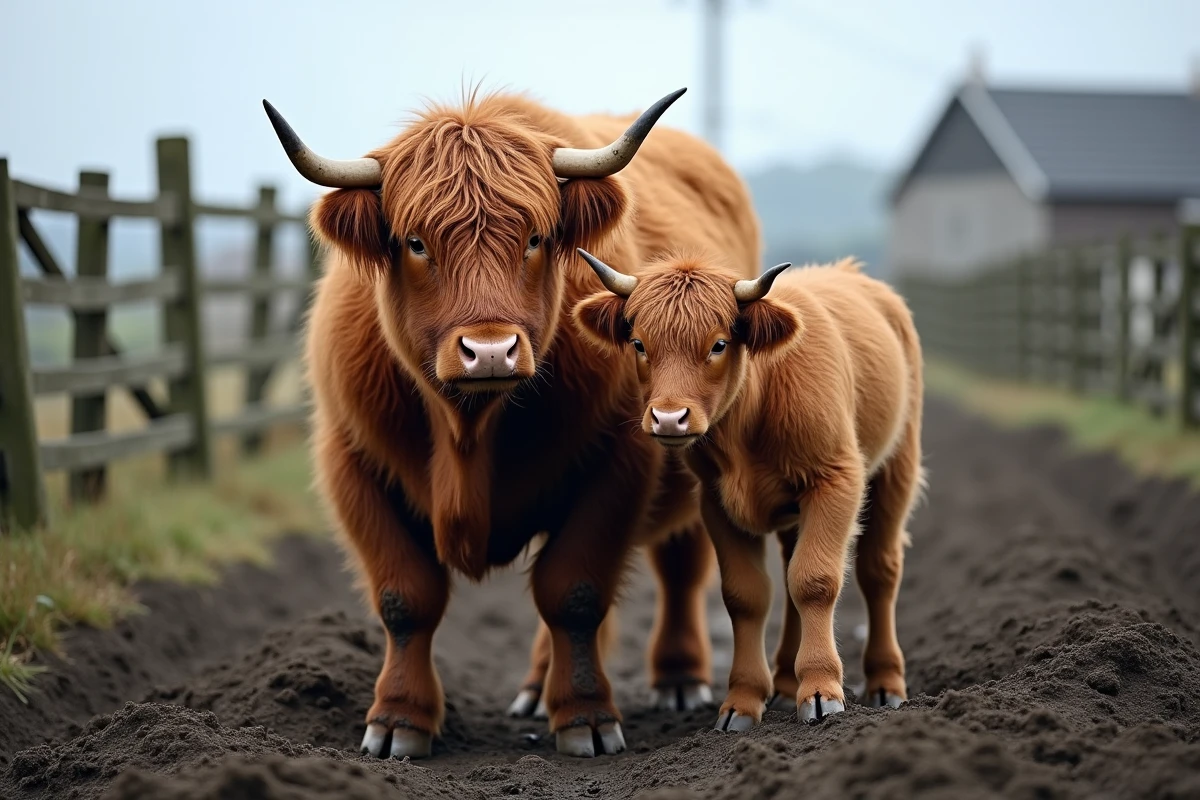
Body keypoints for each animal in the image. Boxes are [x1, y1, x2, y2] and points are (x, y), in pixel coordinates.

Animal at [261, 87, 763, 758]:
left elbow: (574, 591)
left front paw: (585, 717)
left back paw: (679, 680)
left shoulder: (617, 465)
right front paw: (398, 719)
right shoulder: (353, 463)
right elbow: (405, 597)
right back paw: (535, 687)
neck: (467, 430)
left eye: (535, 238)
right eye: (415, 241)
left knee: (680, 569)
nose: (491, 350)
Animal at [570, 249, 925, 730]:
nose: (668, 418)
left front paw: (822, 692)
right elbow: (746, 594)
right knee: (793, 568)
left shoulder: (836, 479)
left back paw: (886, 683)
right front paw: (743, 701)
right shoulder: (716, 501)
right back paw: (787, 683)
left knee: (879, 569)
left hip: (897, 465)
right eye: (639, 343)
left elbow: (815, 581)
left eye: (719, 344)